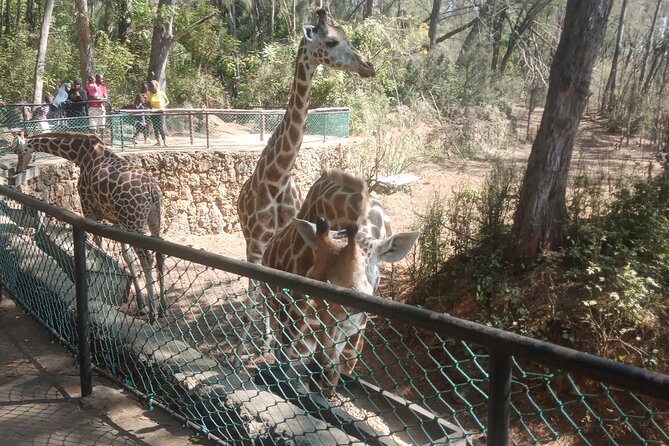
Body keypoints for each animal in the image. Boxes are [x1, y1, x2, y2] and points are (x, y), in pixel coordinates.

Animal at [13, 132, 167, 322]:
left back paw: (153, 313)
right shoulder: (116, 220)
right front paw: (140, 305)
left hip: (134, 221)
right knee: (159, 254)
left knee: (147, 259)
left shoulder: (88, 209)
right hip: (153, 219)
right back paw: (162, 308)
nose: (18, 170)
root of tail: (152, 191)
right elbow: (127, 256)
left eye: (18, 151)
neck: (80, 155)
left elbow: (100, 244)